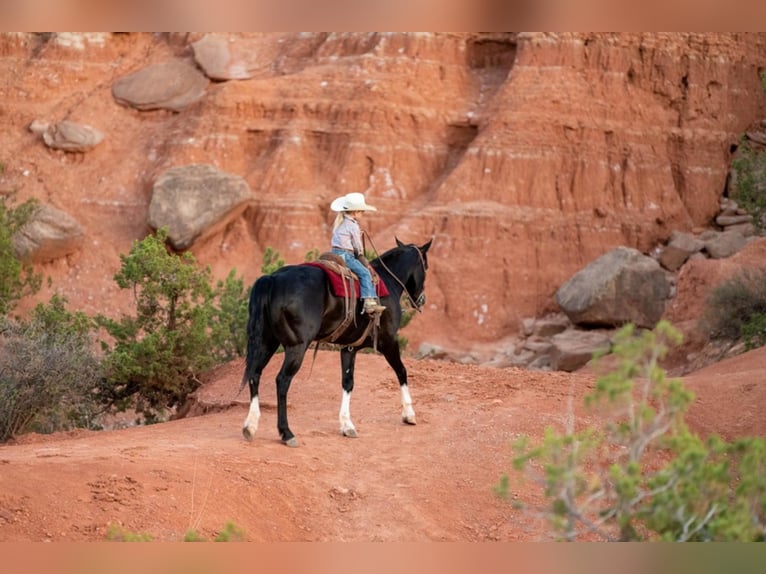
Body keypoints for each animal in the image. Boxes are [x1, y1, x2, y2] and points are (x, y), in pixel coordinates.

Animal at [242, 236, 432, 448]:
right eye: (425, 266)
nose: (421, 299)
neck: (387, 282)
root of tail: (273, 279)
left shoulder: (349, 347)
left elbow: (347, 382)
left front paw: (347, 425)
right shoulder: (389, 341)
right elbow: (401, 371)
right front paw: (409, 414)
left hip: (266, 342)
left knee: (254, 374)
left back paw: (250, 426)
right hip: (296, 347)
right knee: (282, 381)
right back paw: (286, 432)